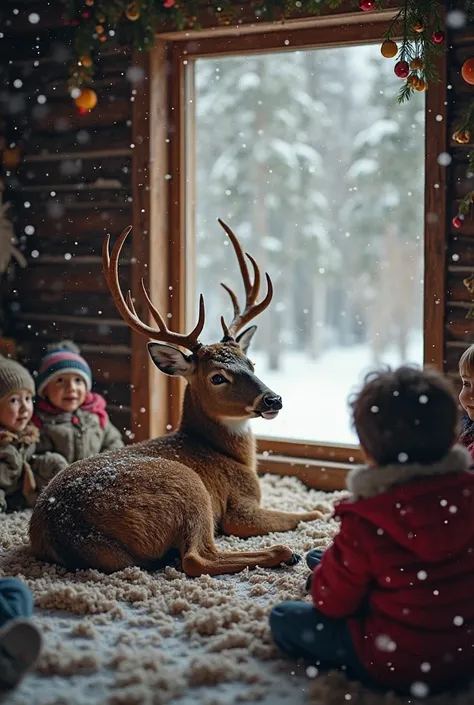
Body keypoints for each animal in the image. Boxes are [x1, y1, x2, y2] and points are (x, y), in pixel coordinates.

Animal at [29, 219, 327, 577]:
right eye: (217, 377)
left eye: (251, 364)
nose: (273, 400)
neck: (230, 455)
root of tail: (66, 529)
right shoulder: (241, 507)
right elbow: (299, 516)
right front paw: (321, 511)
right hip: (188, 487)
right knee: (197, 558)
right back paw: (284, 553)